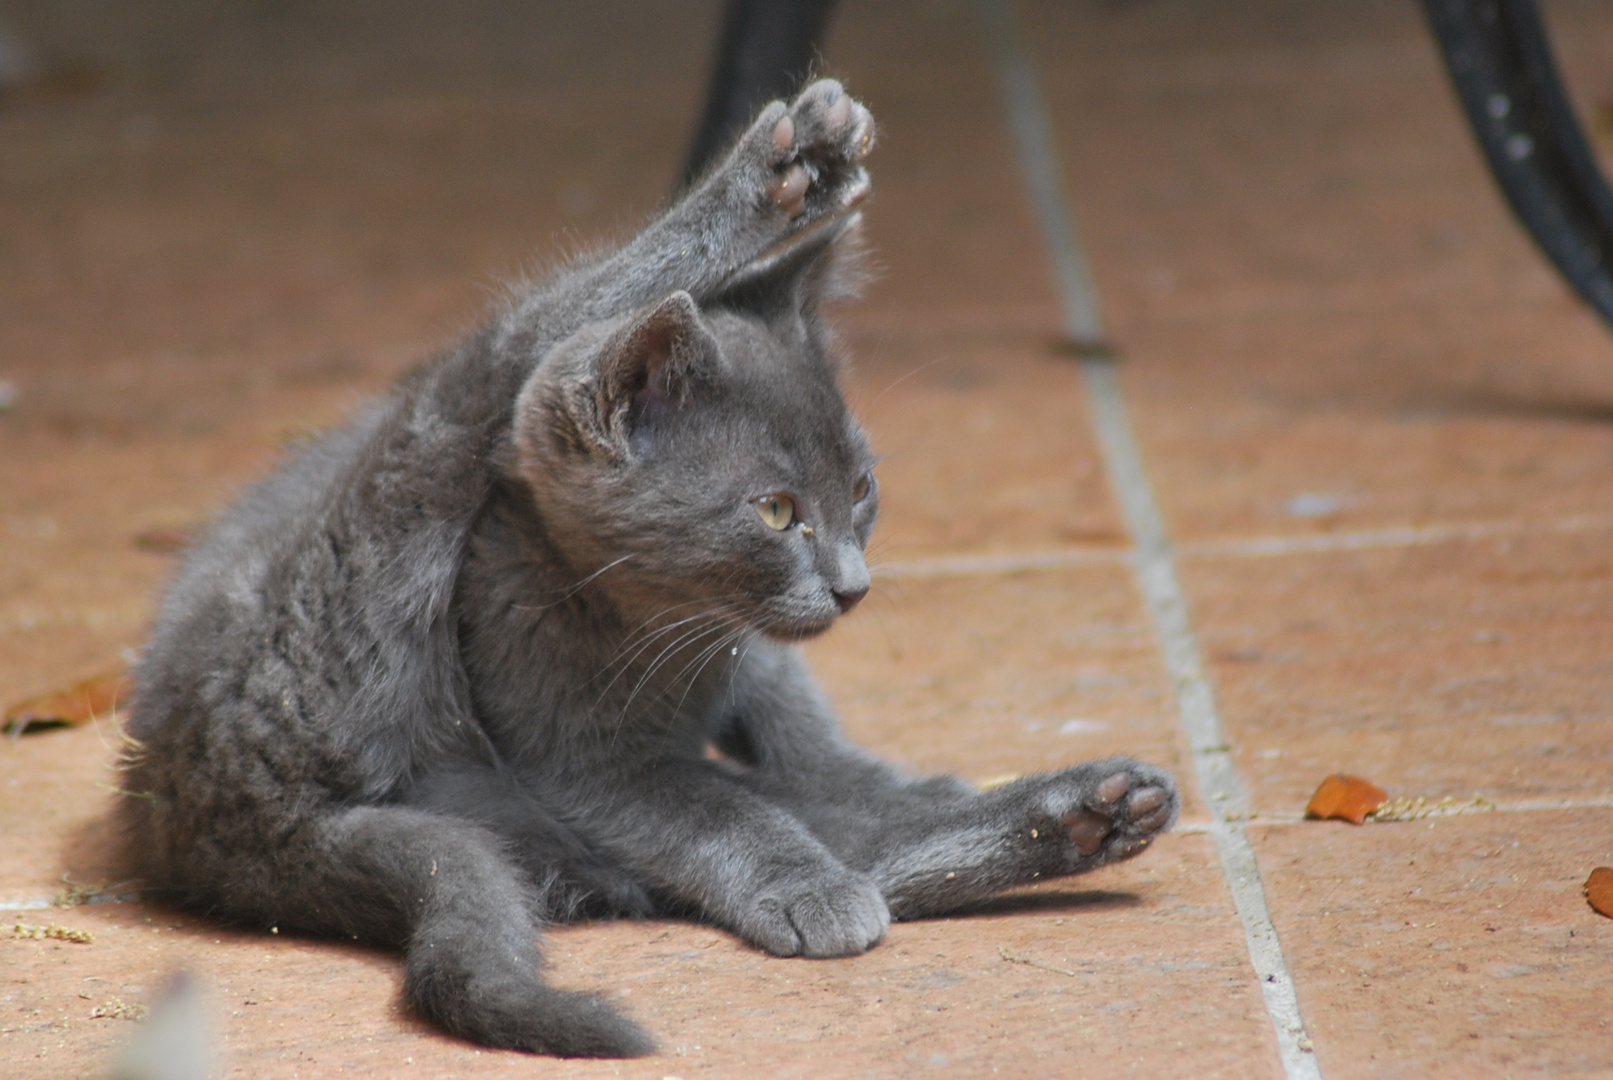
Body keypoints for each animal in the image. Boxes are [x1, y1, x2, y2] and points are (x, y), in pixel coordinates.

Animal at [119, 82, 1180, 1057]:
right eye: (776, 511)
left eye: (862, 489)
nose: (852, 586)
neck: (683, 631)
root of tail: (216, 823)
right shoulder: (577, 758)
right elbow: (716, 807)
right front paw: (809, 882)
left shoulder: (759, 660)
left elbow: (814, 757)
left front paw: (915, 790)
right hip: (386, 576)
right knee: (508, 351)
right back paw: (770, 175)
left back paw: (1082, 814)